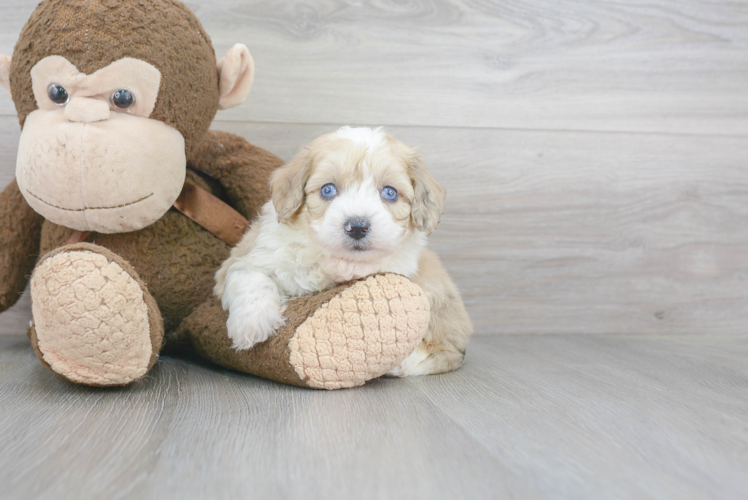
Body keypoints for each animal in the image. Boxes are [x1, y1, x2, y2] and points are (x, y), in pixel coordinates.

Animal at [216, 127, 470, 376]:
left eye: (390, 193)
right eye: (328, 190)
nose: (357, 226)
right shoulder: (250, 255)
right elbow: (248, 276)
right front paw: (252, 324)